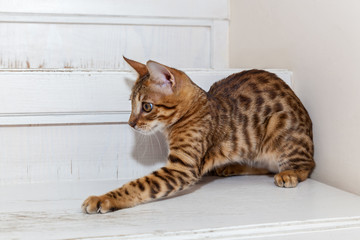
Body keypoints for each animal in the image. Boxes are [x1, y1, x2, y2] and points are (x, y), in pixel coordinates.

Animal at [82, 57, 316, 214]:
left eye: (147, 106)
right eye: (131, 103)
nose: (130, 123)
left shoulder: (182, 168)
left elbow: (140, 185)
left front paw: (103, 199)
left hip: (279, 130)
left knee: (306, 165)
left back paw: (290, 173)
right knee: (265, 167)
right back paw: (232, 167)